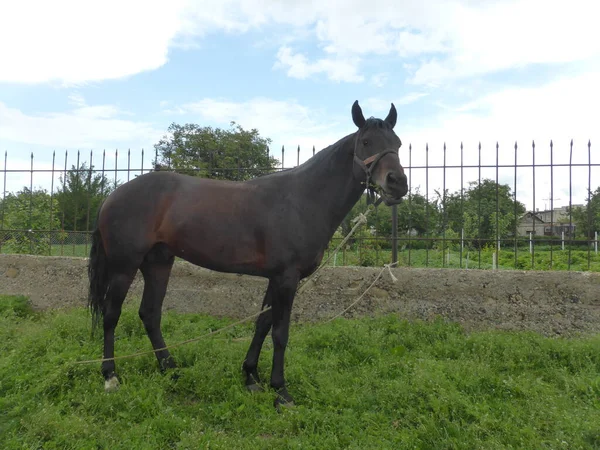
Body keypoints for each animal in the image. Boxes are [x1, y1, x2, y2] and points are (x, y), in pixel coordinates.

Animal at [88, 99, 408, 408]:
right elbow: (280, 333)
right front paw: (281, 391)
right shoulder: (287, 278)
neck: (302, 199)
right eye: (366, 141)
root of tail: (112, 195)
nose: (398, 183)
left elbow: (262, 324)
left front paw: (251, 376)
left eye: (398, 143)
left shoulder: (275, 278)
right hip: (124, 266)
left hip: (158, 263)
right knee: (111, 314)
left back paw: (170, 368)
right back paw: (110, 376)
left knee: (150, 314)